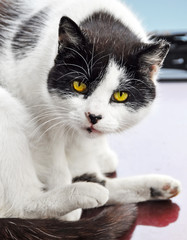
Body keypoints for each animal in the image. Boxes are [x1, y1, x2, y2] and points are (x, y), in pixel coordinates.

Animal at [0, 0, 181, 238]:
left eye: (120, 95)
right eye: (79, 85)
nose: (93, 116)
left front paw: (101, 154)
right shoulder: (40, 111)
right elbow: (55, 156)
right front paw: (68, 207)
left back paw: (155, 186)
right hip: (6, 108)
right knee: (21, 205)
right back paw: (81, 194)